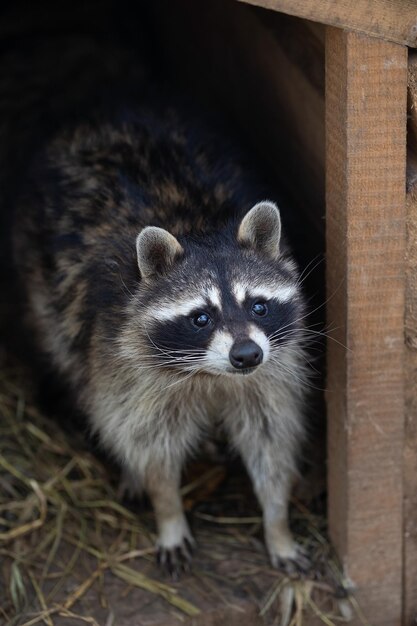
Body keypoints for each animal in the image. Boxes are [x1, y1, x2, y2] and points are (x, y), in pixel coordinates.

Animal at [13, 96, 308, 576]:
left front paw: (277, 520)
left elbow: (271, 439)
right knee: (76, 368)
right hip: (44, 285)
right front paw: (167, 509)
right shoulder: (122, 356)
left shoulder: (271, 373)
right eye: (201, 318)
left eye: (258, 307)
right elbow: (147, 442)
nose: (246, 354)